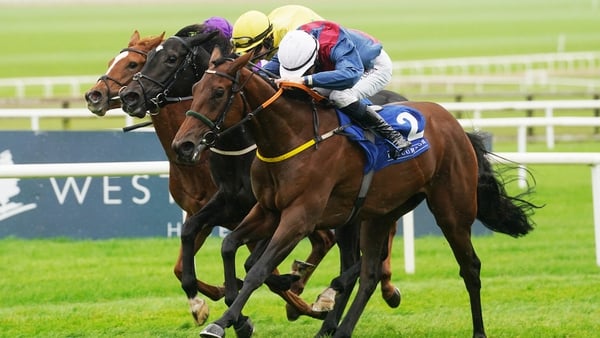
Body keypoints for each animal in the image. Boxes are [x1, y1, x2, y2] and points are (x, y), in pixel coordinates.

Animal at [170, 48, 540, 338]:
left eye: (219, 92)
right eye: (196, 88)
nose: (183, 145)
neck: (289, 137)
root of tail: (456, 125)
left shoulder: (300, 216)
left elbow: (258, 270)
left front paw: (223, 321)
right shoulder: (267, 209)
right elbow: (230, 246)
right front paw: (238, 314)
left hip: (451, 210)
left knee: (470, 267)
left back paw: (478, 331)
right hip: (378, 214)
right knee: (369, 273)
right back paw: (340, 328)